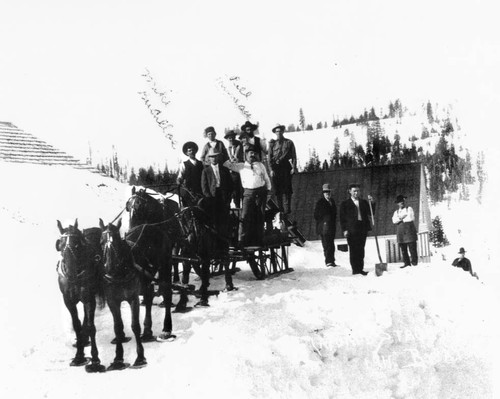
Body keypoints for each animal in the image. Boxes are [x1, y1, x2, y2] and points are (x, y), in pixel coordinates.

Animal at [56, 219, 106, 376]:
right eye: (60, 245)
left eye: (77, 244)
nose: (71, 276)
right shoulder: (68, 301)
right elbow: (76, 325)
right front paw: (79, 356)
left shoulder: (89, 298)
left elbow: (91, 326)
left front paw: (95, 361)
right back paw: (83, 340)